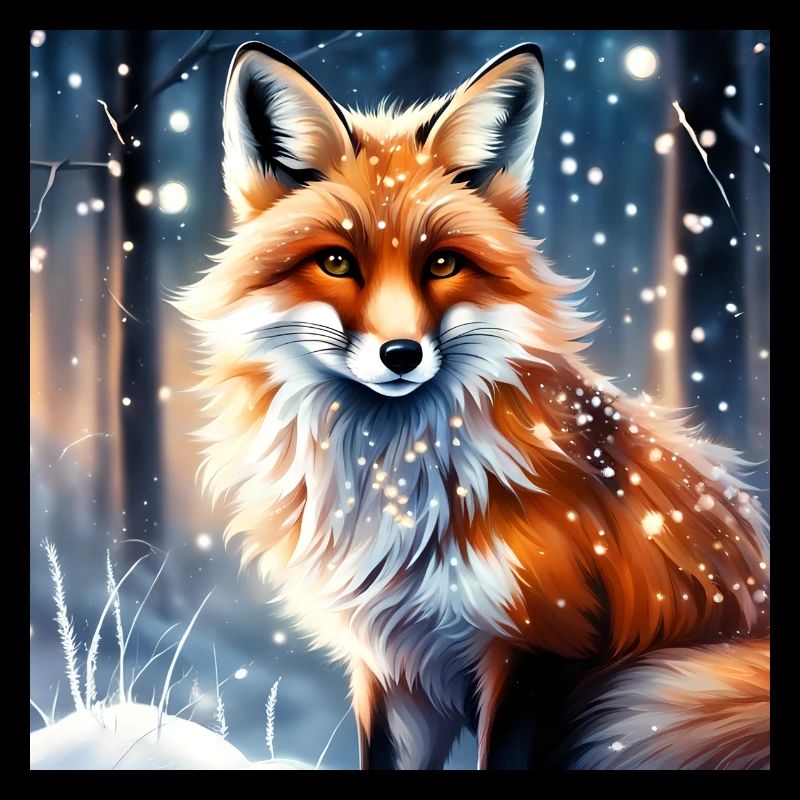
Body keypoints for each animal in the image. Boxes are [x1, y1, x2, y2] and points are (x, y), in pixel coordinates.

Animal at [175, 41, 770, 769]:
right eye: (337, 261)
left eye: (442, 264)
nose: (401, 354)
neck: (400, 496)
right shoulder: (393, 666)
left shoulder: (540, 648)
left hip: (642, 695)